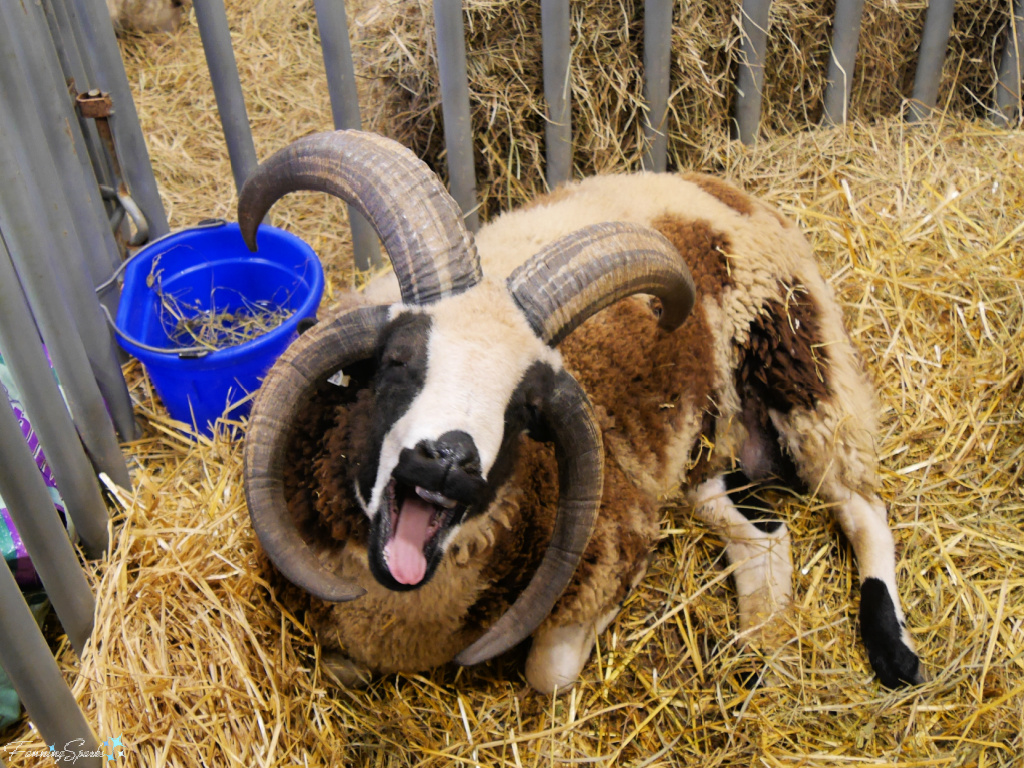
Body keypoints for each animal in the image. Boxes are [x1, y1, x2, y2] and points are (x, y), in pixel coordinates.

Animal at [239, 130, 924, 694]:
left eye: (524, 409)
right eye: (398, 360)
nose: (447, 461)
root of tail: (709, 182)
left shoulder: (611, 543)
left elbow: (550, 671)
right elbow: (341, 668)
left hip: (803, 363)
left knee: (863, 507)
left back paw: (892, 653)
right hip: (707, 434)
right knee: (761, 531)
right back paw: (755, 646)